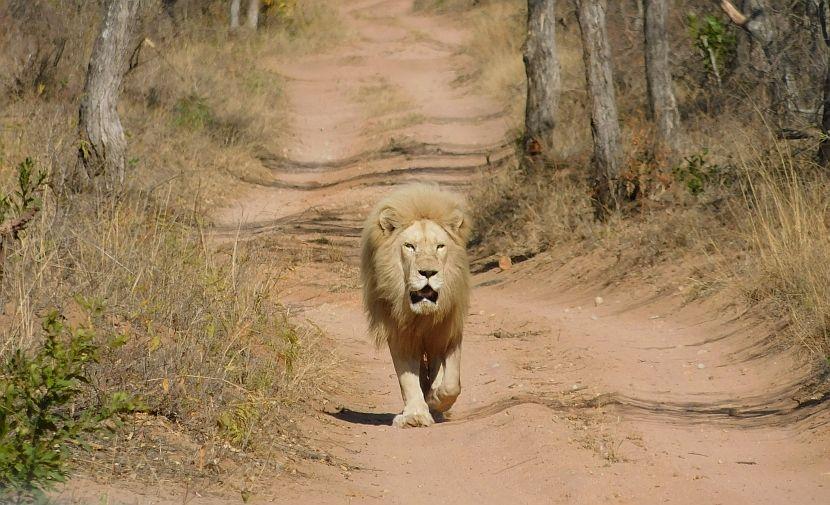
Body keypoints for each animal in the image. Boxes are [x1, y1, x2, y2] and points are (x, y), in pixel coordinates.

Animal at [360, 183, 472, 428]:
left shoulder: (448, 329)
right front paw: (415, 415)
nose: (428, 272)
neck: (422, 316)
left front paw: (437, 398)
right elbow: (407, 379)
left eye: (440, 246)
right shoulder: (399, 333)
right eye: (410, 246)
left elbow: (451, 383)